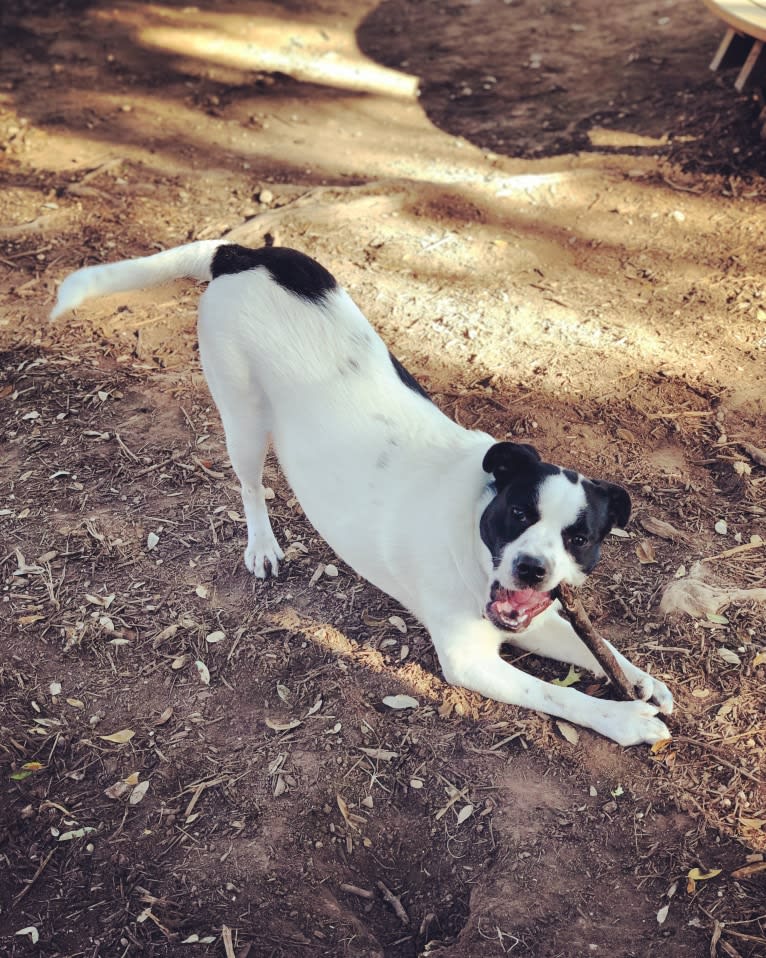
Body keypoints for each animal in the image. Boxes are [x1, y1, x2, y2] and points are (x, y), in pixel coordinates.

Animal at [54, 242, 676, 752]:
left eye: (580, 539)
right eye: (518, 513)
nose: (530, 567)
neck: (470, 525)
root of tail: (243, 253)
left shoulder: (529, 617)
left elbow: (590, 643)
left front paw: (641, 680)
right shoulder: (470, 661)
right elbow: (561, 695)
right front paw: (624, 720)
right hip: (243, 419)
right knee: (251, 486)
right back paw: (263, 546)